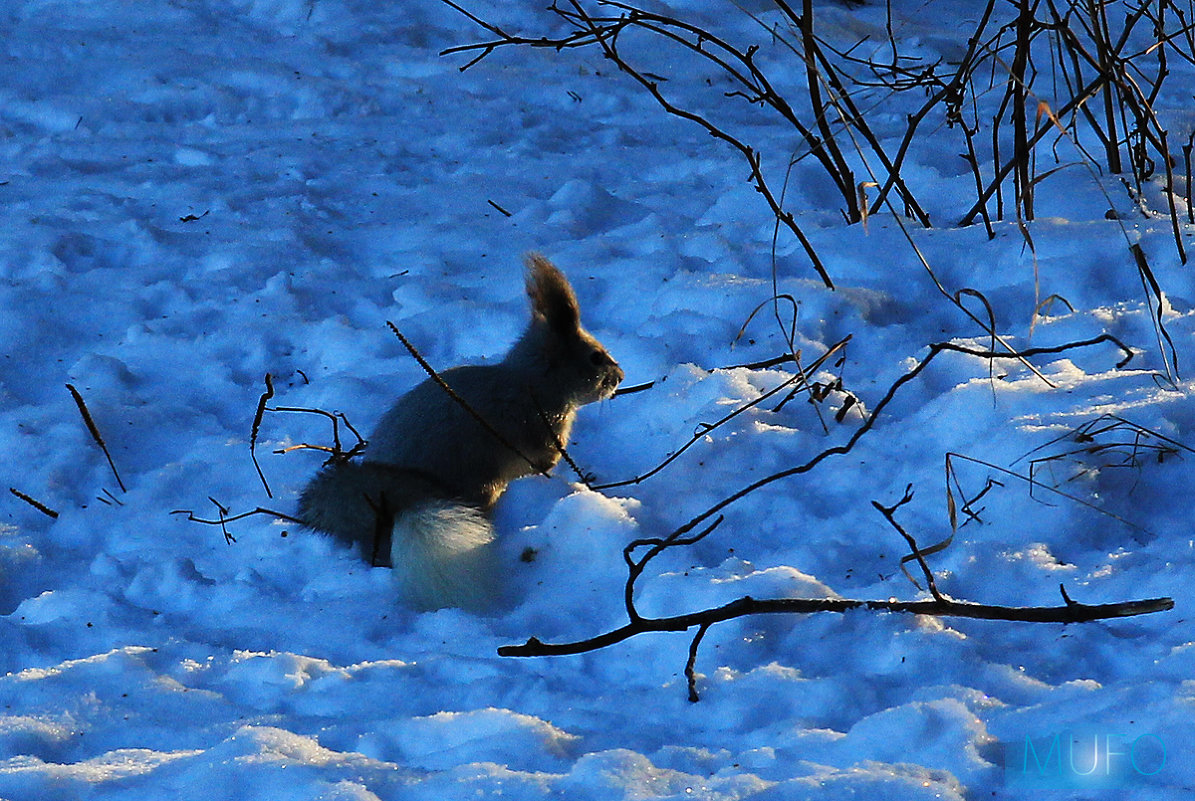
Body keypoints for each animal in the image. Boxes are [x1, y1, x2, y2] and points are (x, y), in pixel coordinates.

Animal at [295, 254, 626, 612]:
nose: (620, 376)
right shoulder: (538, 433)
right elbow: (543, 459)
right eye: (595, 357)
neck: (535, 382)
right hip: (484, 482)